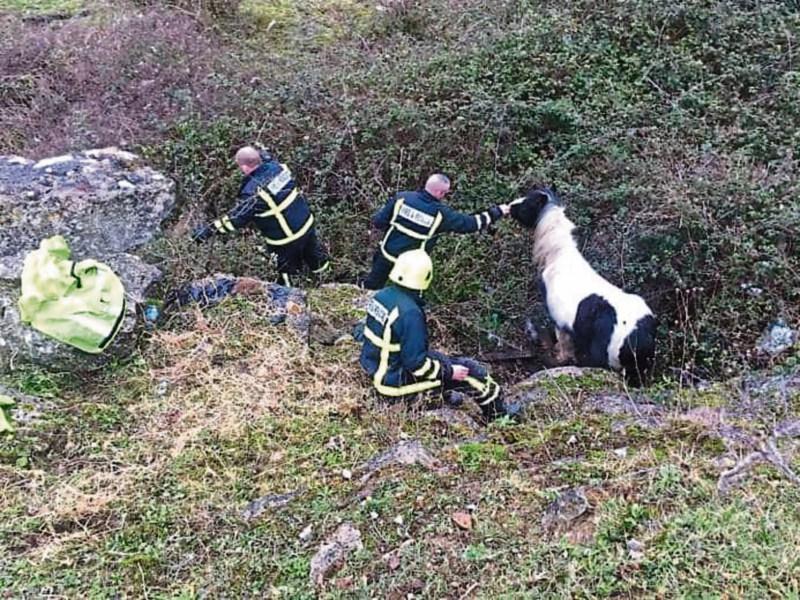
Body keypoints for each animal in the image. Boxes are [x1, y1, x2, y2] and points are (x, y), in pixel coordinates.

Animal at [510, 187, 656, 386]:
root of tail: (640, 336)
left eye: (528, 204)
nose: (510, 207)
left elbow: (563, 348)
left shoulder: (561, 323)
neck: (556, 256)